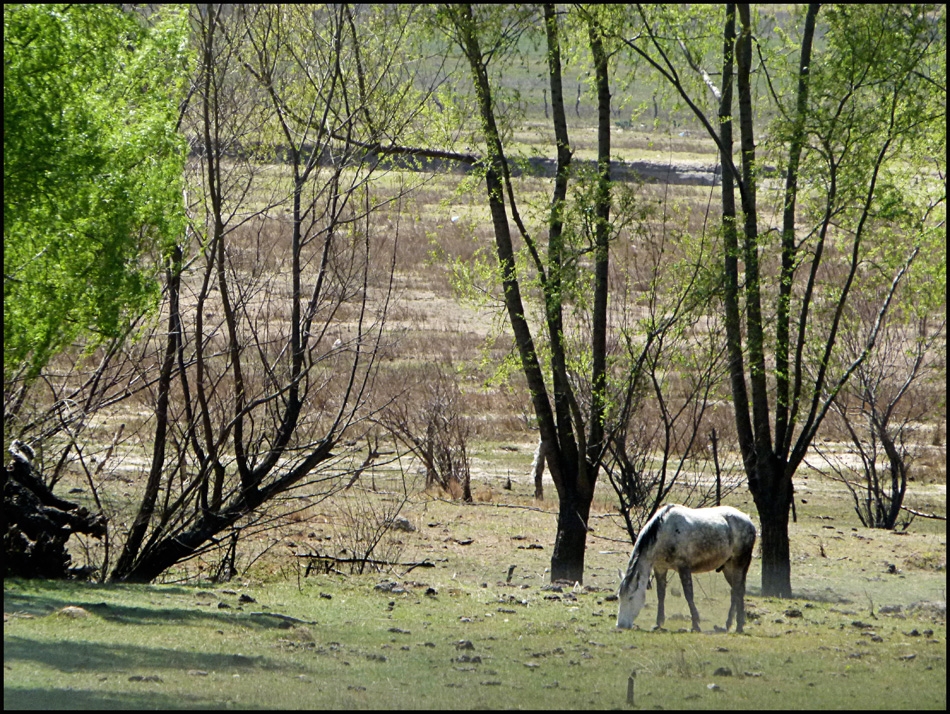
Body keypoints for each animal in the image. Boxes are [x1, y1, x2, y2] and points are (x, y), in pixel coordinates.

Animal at [616, 504, 760, 632]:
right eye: (619, 596)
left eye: (631, 597)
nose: (621, 625)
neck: (665, 533)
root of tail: (749, 521)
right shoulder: (660, 567)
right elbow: (660, 594)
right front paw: (658, 623)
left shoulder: (683, 567)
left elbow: (688, 594)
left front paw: (696, 624)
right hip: (728, 567)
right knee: (735, 591)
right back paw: (728, 625)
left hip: (739, 563)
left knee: (739, 590)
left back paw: (739, 626)